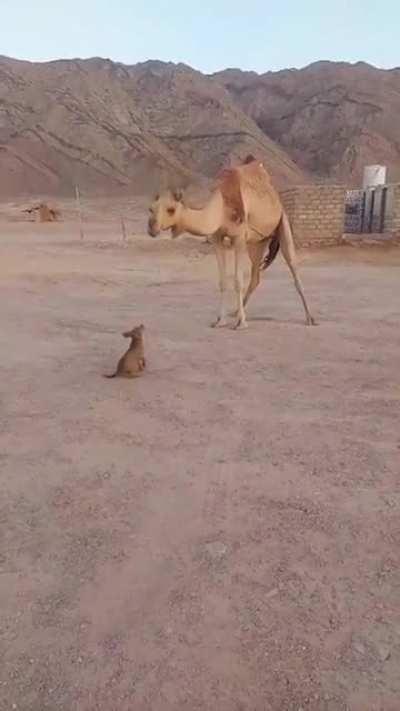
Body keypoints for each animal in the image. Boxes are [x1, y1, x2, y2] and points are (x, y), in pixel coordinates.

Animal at [148, 157, 314, 329]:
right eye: (150, 209)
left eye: (171, 209)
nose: (151, 228)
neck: (221, 207)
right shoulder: (217, 239)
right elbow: (222, 281)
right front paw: (220, 320)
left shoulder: (239, 238)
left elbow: (238, 281)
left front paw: (241, 323)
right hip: (258, 242)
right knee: (255, 276)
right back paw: (235, 312)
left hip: (282, 221)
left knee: (293, 267)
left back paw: (310, 318)